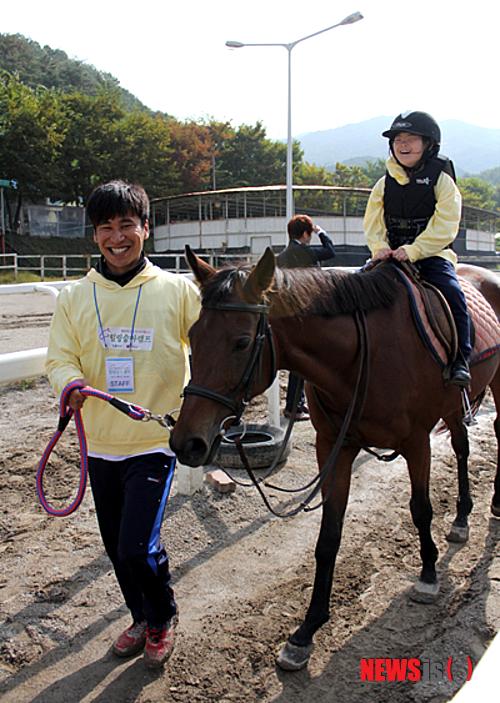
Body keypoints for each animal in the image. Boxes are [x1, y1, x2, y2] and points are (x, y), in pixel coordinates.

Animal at [170, 248, 500, 672]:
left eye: (241, 342)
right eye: (193, 336)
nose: (186, 443)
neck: (365, 354)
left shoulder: (416, 443)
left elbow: (421, 509)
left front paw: (428, 574)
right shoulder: (334, 447)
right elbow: (328, 536)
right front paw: (306, 630)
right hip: (455, 408)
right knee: (461, 447)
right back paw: (460, 518)